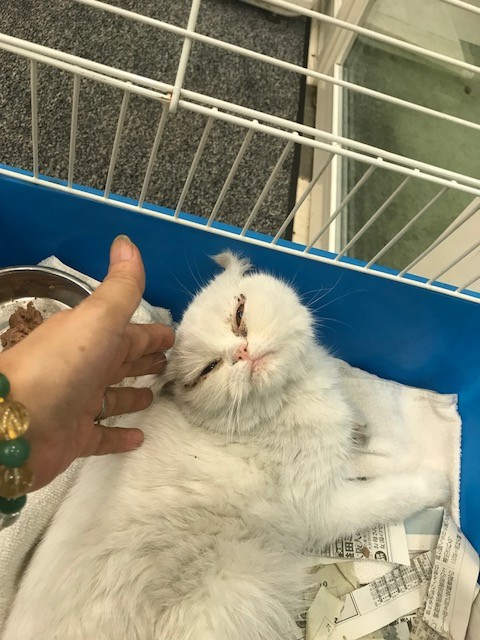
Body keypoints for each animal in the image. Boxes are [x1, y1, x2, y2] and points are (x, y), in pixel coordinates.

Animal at [4, 252, 449, 640]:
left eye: (239, 316)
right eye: (208, 371)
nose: (242, 351)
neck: (289, 398)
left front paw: (359, 430)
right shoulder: (324, 507)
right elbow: (390, 495)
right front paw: (437, 484)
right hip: (237, 594)